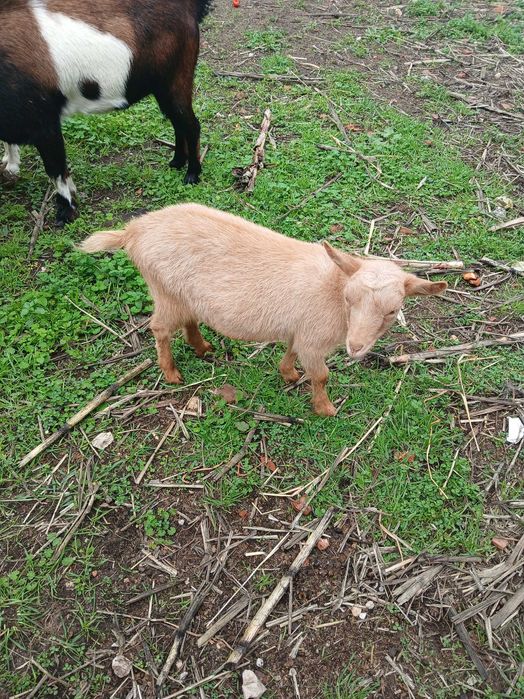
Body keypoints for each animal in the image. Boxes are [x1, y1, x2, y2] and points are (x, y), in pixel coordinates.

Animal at [0, 1, 212, 226]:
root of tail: (188, 7)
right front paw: (11, 165)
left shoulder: (44, 121)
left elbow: (55, 168)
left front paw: (66, 211)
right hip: (162, 86)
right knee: (177, 122)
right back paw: (177, 162)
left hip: (176, 78)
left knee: (191, 124)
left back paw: (192, 174)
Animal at [79, 204, 447, 416]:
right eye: (350, 299)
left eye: (392, 311)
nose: (355, 347)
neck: (333, 287)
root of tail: (132, 231)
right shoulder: (314, 339)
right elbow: (321, 376)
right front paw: (325, 409)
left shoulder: (300, 330)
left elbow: (290, 350)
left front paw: (288, 374)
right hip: (164, 290)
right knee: (159, 328)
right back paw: (170, 373)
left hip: (182, 295)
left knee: (189, 320)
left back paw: (202, 347)